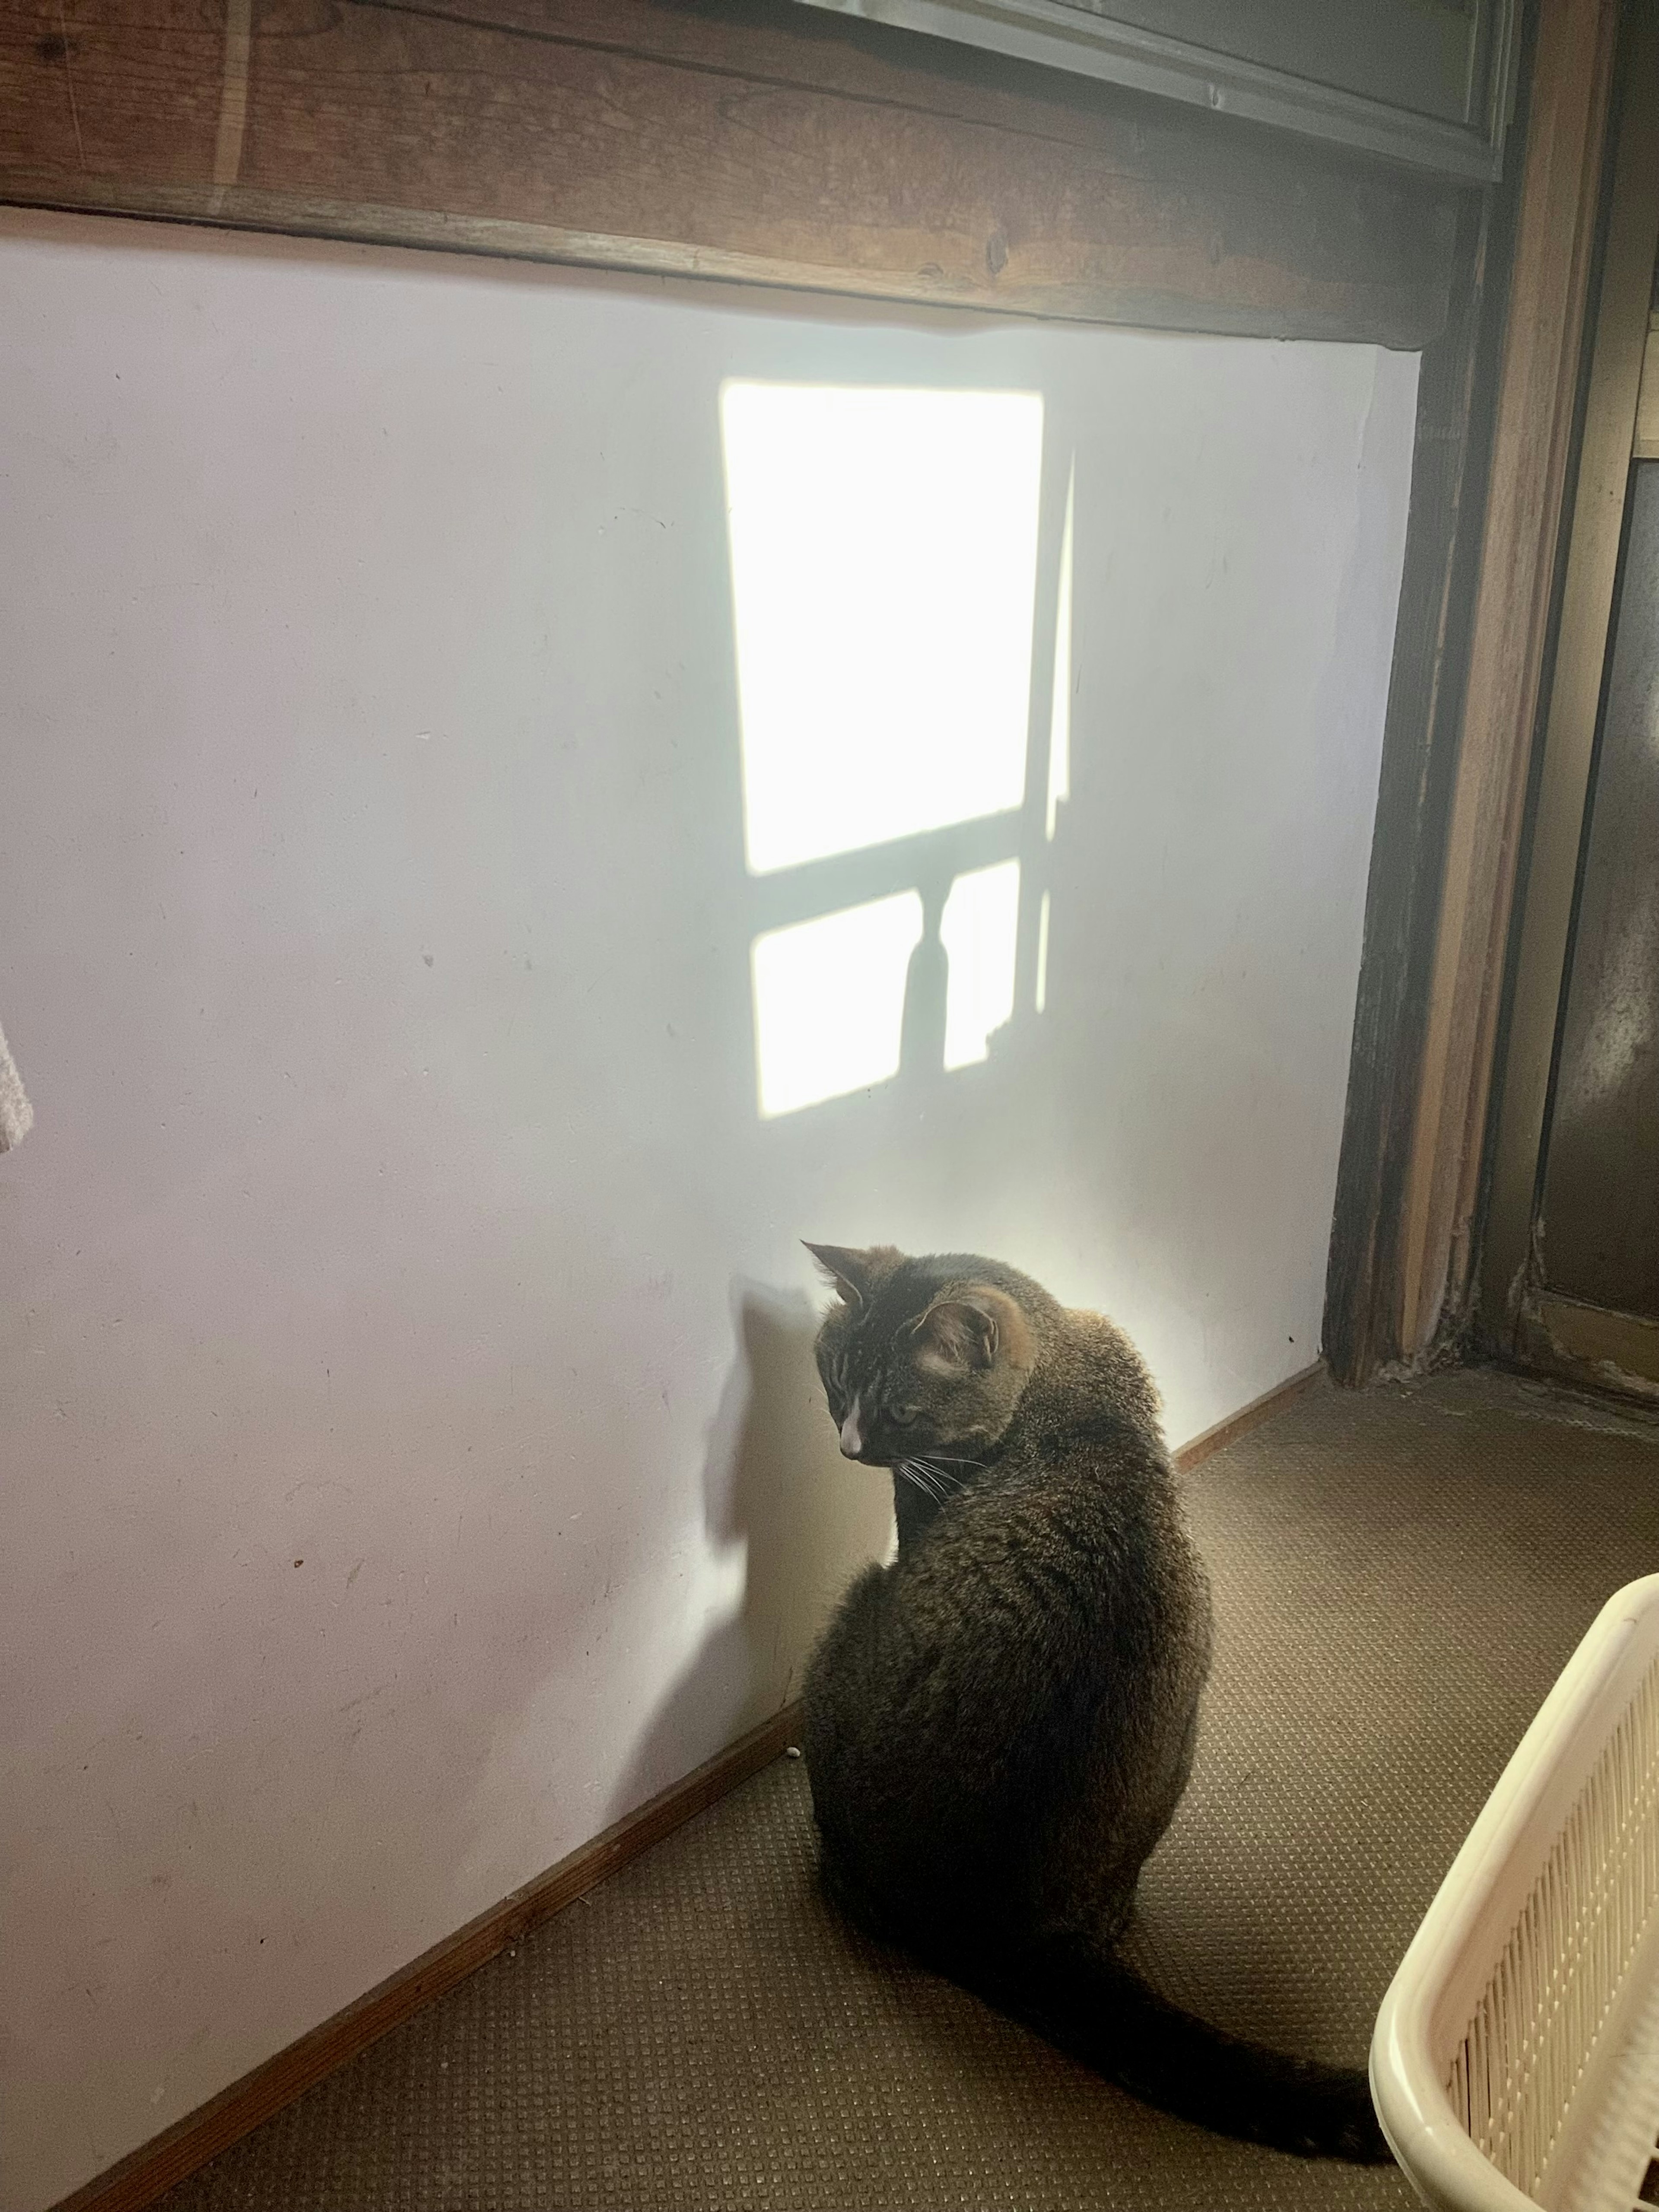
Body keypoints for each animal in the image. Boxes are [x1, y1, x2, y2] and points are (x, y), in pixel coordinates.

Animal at [801, 1247, 1389, 2159]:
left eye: (901, 1410)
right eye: (834, 1379)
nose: (849, 1445)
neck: (1070, 1378)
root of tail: (998, 1923)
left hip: (851, 1618)